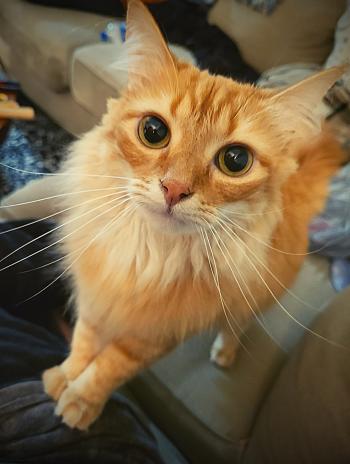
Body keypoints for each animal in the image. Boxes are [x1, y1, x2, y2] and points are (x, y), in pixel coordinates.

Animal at [42, 0, 344, 430]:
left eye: (235, 160)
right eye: (153, 131)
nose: (174, 189)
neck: (145, 254)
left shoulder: (152, 337)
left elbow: (108, 367)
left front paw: (81, 401)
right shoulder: (95, 298)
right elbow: (84, 342)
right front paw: (64, 376)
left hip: (248, 299)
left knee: (237, 324)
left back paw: (225, 352)